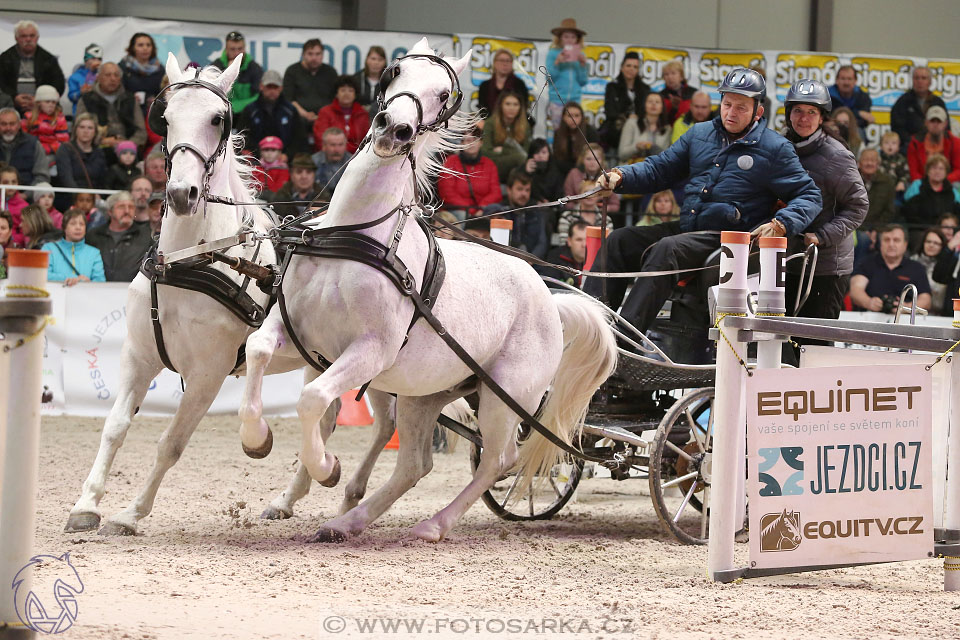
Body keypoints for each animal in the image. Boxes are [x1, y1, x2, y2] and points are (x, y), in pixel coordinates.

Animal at [65, 55, 398, 536]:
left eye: (217, 119)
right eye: (165, 118)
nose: (181, 194)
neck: (187, 262)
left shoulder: (207, 374)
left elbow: (171, 443)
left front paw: (130, 513)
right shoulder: (138, 355)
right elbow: (115, 425)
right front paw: (86, 504)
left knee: (384, 423)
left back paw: (351, 493)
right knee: (329, 414)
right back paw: (289, 498)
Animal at [239, 37, 616, 544]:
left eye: (443, 95)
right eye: (394, 71)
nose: (394, 129)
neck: (355, 234)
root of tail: (552, 302)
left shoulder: (370, 351)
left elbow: (312, 399)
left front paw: (326, 466)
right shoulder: (296, 330)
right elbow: (258, 349)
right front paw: (256, 439)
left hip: (504, 395)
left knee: (498, 460)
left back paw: (432, 525)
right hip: (425, 394)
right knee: (415, 464)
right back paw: (347, 522)